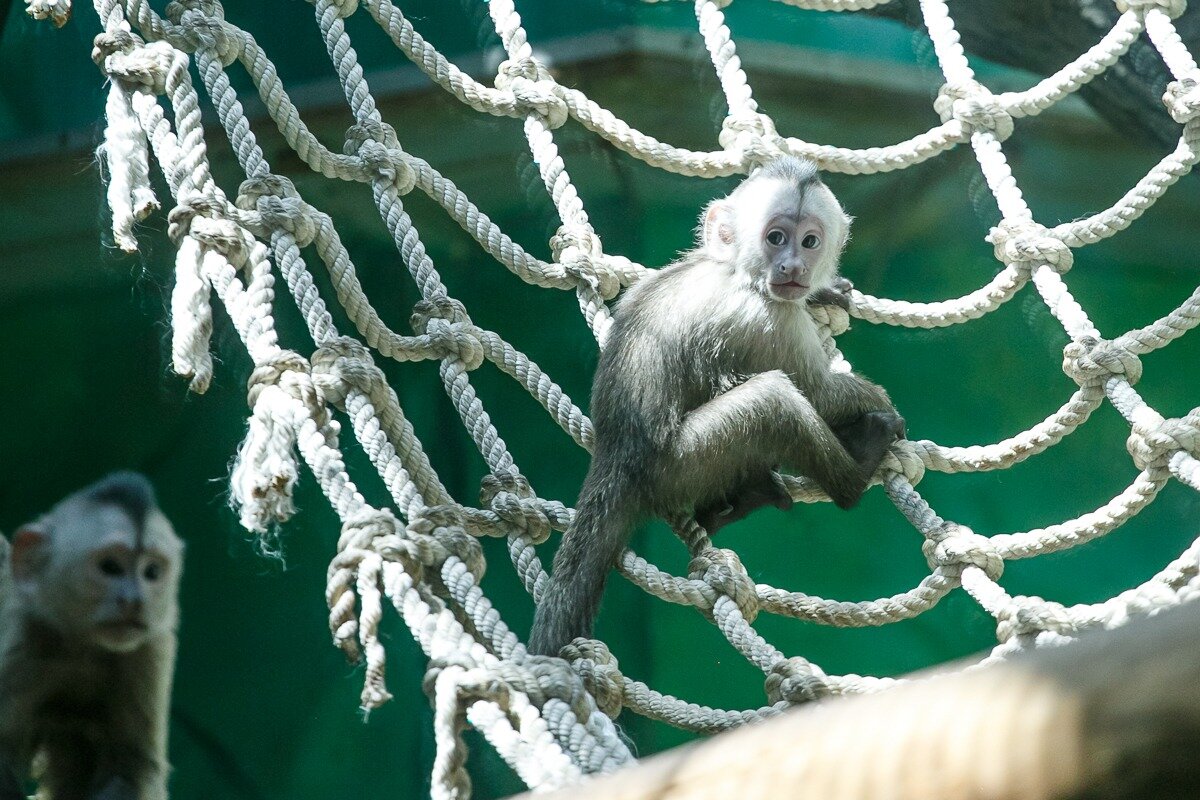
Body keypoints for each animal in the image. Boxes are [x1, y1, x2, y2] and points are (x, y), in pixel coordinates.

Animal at [0, 474, 182, 800]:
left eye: (151, 571)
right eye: (110, 567)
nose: (135, 600)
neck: (82, 645)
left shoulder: (152, 647)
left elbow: (132, 767)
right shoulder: (24, 633)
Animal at [530, 155, 902, 657]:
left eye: (809, 242)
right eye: (775, 238)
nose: (792, 265)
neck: (739, 272)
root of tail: (616, 455)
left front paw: (822, 291)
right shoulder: (766, 319)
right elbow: (818, 392)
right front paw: (872, 399)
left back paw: (739, 501)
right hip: (679, 465)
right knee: (774, 400)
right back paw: (855, 471)